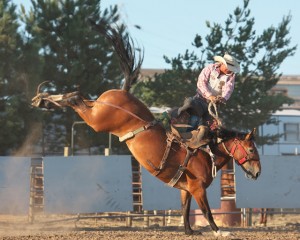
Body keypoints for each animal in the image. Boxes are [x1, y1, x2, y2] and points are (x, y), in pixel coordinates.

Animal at [31, 18, 260, 236]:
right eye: (250, 149)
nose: (257, 173)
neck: (206, 152)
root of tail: (123, 91)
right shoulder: (197, 189)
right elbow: (206, 211)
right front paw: (220, 231)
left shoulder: (185, 189)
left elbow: (185, 209)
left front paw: (189, 231)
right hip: (98, 120)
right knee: (75, 98)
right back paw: (43, 99)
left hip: (97, 108)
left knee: (78, 97)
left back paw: (43, 99)